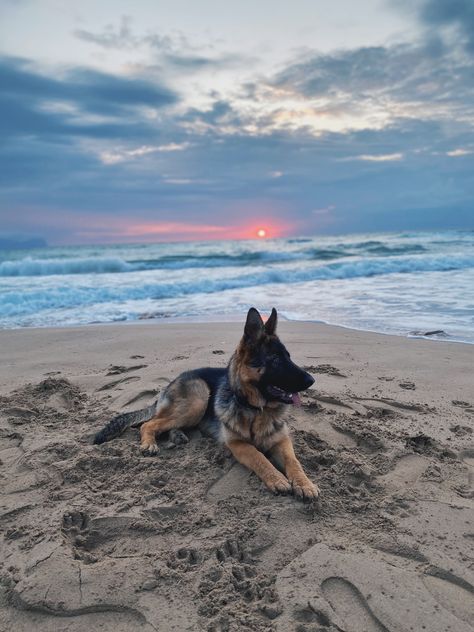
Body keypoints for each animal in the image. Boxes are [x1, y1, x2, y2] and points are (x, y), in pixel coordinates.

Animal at [93, 308, 318, 502]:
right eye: (275, 360)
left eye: (288, 357)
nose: (312, 380)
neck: (255, 410)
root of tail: (173, 381)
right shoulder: (237, 444)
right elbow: (259, 457)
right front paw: (277, 478)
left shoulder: (282, 440)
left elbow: (293, 461)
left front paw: (305, 484)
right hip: (199, 398)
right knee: (150, 424)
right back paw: (149, 443)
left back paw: (177, 435)